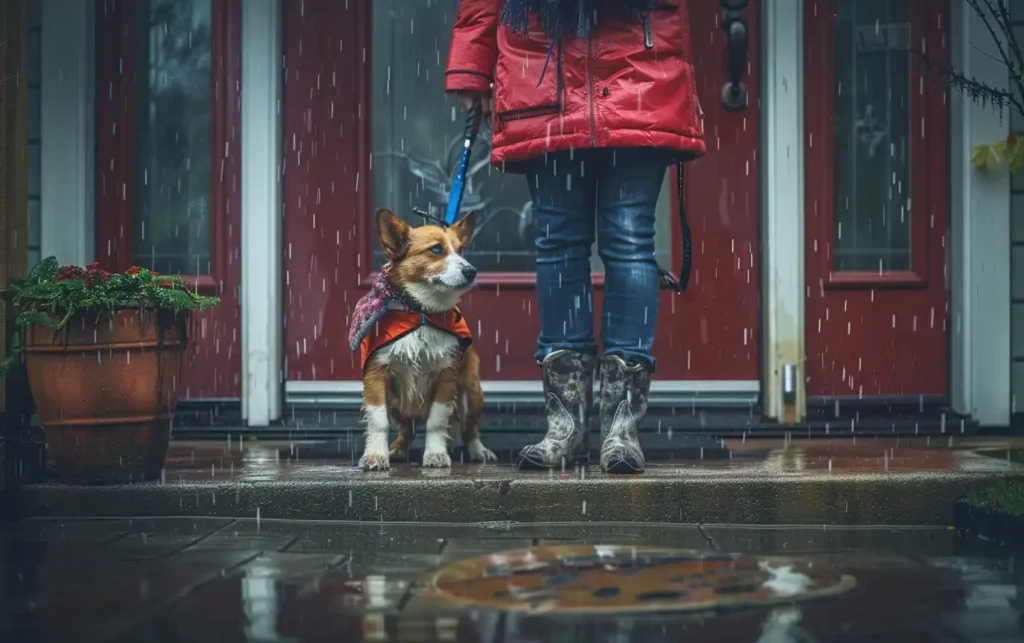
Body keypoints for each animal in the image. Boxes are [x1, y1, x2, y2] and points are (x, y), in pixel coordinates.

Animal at [356, 208, 499, 468]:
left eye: (461, 250)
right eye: (436, 249)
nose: (471, 272)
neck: (421, 312)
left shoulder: (446, 376)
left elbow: (436, 421)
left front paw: (436, 454)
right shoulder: (376, 375)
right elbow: (378, 420)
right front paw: (376, 455)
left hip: (472, 392)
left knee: (469, 427)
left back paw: (478, 450)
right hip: (397, 402)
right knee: (405, 428)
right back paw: (398, 450)